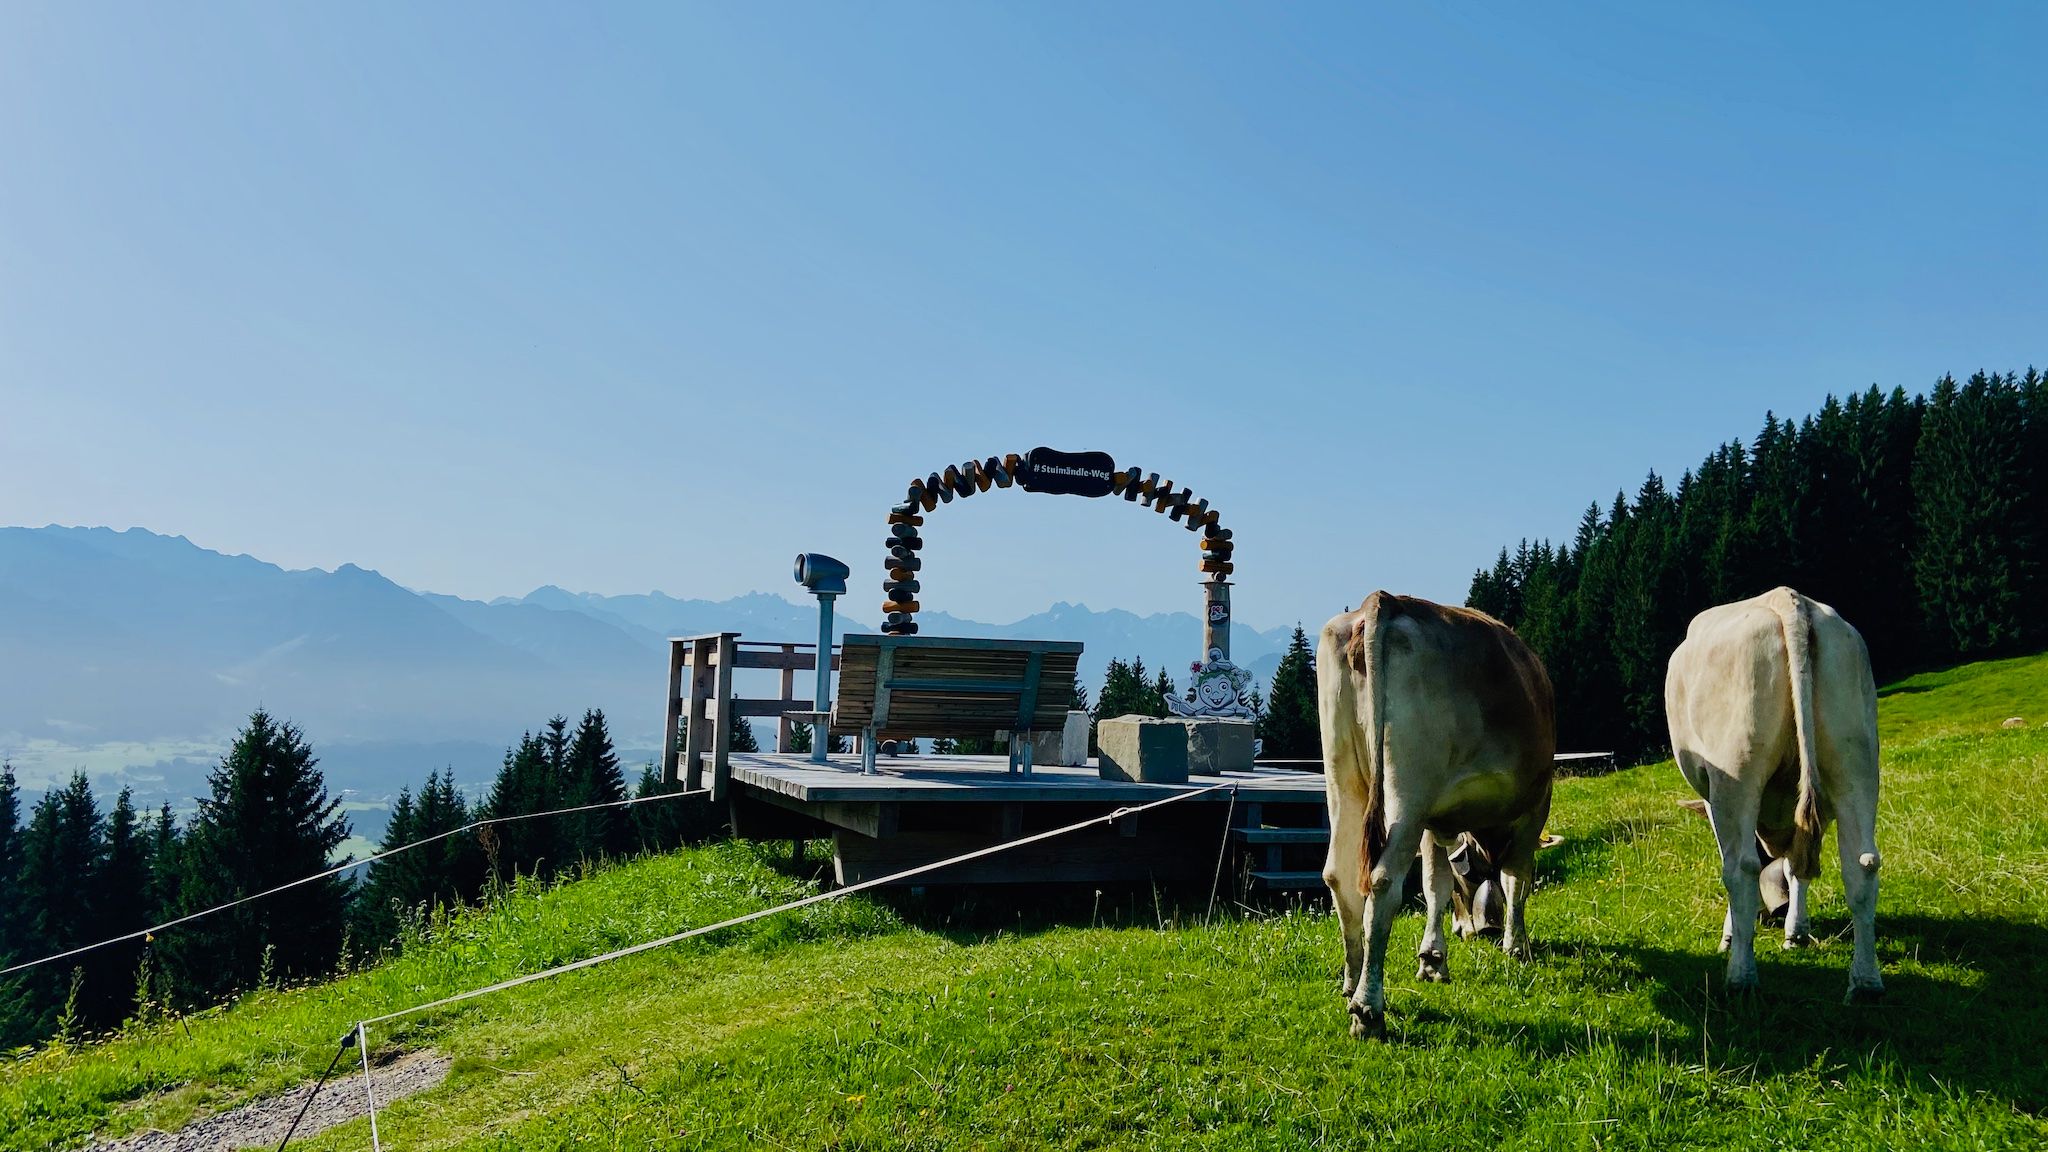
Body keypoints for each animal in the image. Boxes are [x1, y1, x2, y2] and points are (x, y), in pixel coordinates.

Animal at [1318, 590, 1556, 1033]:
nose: (1480, 929)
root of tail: (1386, 600)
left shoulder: (1434, 819)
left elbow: (1435, 883)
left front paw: (1432, 959)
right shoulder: (1536, 804)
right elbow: (1517, 878)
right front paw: (1517, 945)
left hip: (1344, 776)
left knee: (1338, 875)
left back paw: (1351, 981)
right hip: (1407, 791)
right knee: (1383, 881)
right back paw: (1368, 1007)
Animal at [1671, 586, 1875, 1000]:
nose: (1771, 916)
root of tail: (1788, 599)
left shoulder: (1712, 796)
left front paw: (1734, 935)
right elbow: (1798, 864)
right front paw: (1796, 932)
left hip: (1736, 773)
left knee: (1740, 867)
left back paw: (1741, 975)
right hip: (1855, 762)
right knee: (1861, 865)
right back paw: (1864, 982)